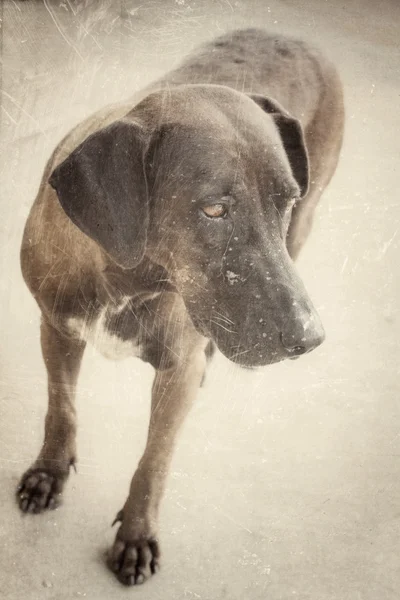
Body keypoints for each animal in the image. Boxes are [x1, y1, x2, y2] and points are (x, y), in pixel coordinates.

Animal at [16, 29, 344, 584]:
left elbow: (156, 458)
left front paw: (136, 535)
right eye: (213, 209)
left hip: (306, 221)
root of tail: (296, 37)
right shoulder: (56, 327)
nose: (310, 338)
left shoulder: (177, 370)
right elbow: (62, 407)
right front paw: (50, 471)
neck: (125, 277)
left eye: (284, 200)